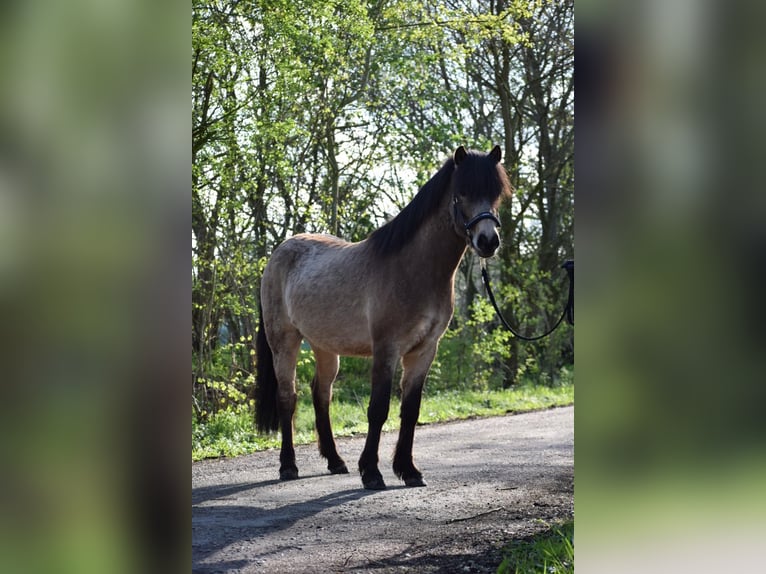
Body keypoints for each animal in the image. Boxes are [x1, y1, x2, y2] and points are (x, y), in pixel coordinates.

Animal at [255, 145, 512, 490]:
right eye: (461, 194)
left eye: (495, 194)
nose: (488, 241)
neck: (413, 270)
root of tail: (278, 253)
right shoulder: (386, 348)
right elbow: (378, 409)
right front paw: (372, 473)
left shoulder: (424, 350)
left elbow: (410, 410)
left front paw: (409, 470)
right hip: (284, 342)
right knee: (288, 397)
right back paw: (288, 466)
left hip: (325, 346)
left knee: (321, 395)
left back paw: (335, 461)